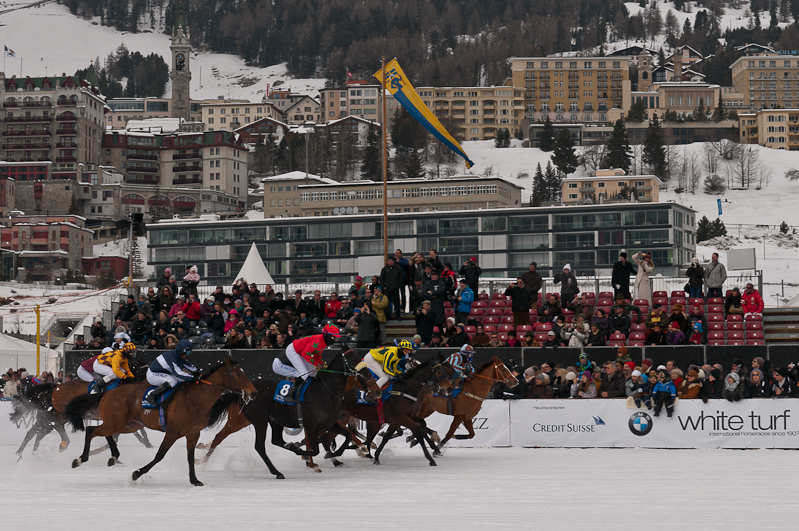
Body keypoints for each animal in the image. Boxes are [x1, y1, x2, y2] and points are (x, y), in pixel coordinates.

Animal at [68, 360, 260, 488]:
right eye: (238, 373)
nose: (253, 392)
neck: (196, 399)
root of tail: (107, 393)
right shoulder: (173, 432)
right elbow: (159, 455)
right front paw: (136, 474)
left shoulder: (193, 434)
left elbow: (190, 457)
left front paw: (194, 480)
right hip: (117, 423)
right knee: (91, 430)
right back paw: (80, 459)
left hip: (128, 425)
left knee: (104, 433)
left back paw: (113, 457)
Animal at [195, 352, 382, 476]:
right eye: (359, 369)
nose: (377, 391)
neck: (326, 391)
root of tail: (243, 392)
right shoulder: (312, 425)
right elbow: (314, 446)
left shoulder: (329, 423)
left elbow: (343, 436)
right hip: (251, 420)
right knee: (229, 438)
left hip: (266, 421)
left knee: (273, 440)